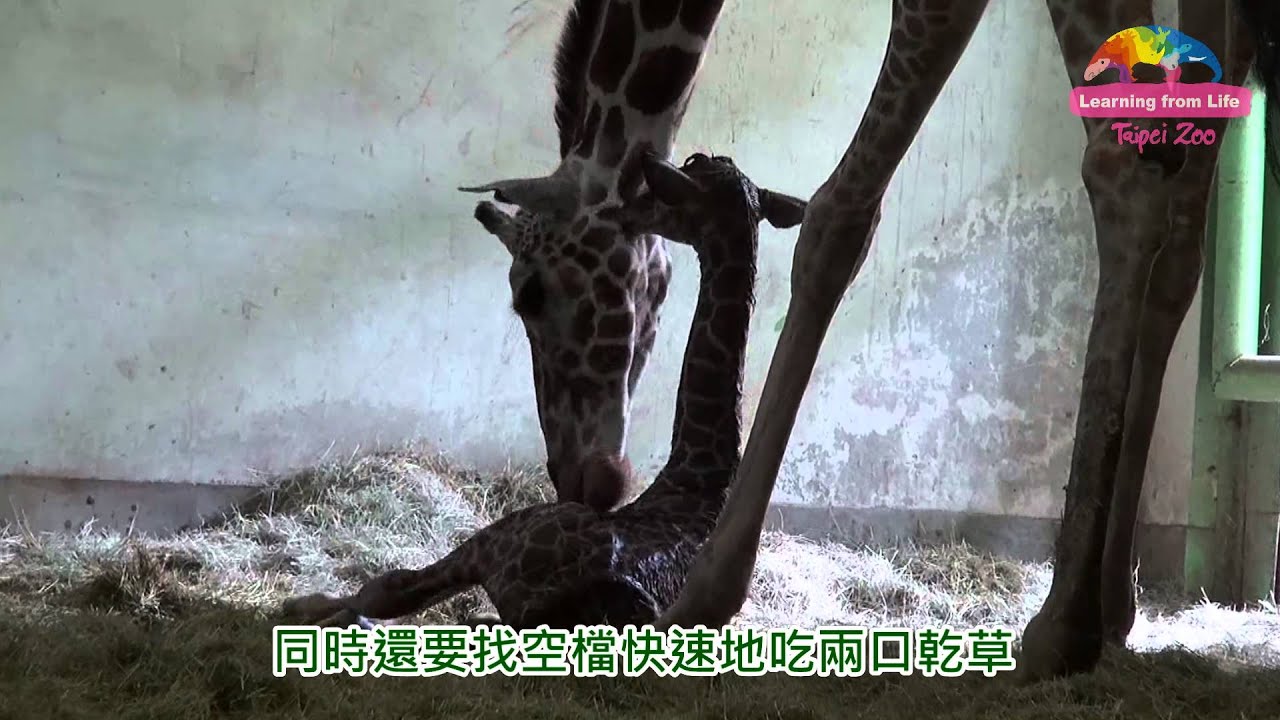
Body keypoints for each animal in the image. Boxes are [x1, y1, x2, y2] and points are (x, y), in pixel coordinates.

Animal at [281, 151, 808, 629]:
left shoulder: (493, 541)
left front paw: (303, 604)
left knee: (389, 590)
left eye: (678, 180)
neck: (697, 475)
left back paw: (306, 607)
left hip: (503, 544)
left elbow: (387, 588)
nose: (626, 214)